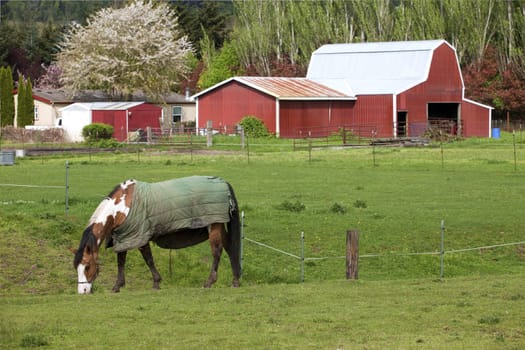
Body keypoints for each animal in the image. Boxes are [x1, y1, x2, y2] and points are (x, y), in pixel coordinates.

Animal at [72, 176, 241, 294]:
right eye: (76, 268)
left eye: (87, 266)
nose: (82, 291)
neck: (120, 209)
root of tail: (223, 183)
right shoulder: (124, 237)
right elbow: (121, 261)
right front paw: (117, 286)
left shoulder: (139, 236)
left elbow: (148, 259)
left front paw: (156, 283)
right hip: (219, 226)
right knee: (229, 247)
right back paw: (235, 281)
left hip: (214, 226)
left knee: (217, 252)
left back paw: (209, 282)